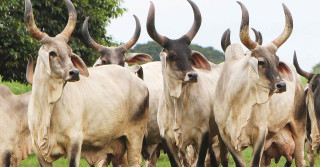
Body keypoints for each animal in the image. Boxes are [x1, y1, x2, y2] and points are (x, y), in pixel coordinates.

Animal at [24, 0, 149, 167]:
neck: (48, 106)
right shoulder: (38, 149)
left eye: (69, 52)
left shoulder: (75, 141)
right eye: (53, 53)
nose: (74, 73)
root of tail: (137, 79)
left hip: (135, 136)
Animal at [146, 0, 224, 166]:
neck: (178, 104)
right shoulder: (167, 140)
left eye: (189, 56)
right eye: (172, 55)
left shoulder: (202, 135)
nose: (193, 75)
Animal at [216, 2, 306, 166]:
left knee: (300, 159)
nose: (282, 85)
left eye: (277, 61)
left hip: (300, 127)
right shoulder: (226, 136)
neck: (237, 100)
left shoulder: (260, 134)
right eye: (261, 62)